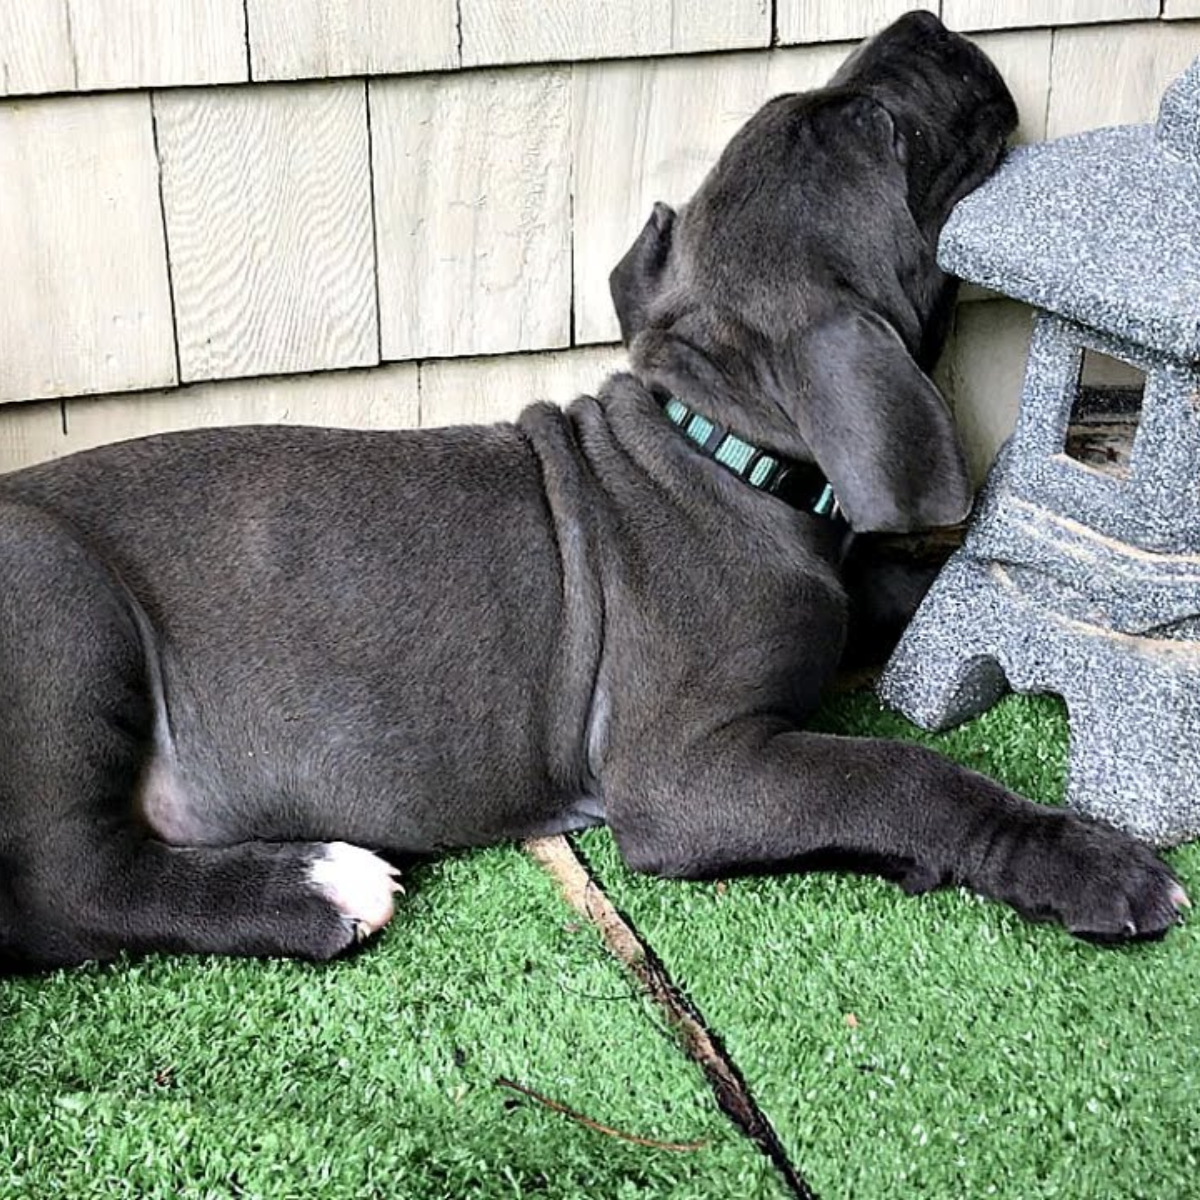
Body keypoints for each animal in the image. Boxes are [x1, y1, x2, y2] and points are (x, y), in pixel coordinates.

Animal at [0, 11, 1185, 974]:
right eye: (885, 132)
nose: (930, 22)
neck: (724, 452)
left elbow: (907, 595)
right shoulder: (686, 771)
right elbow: (902, 775)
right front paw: (1085, 859)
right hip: (66, 615)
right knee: (70, 895)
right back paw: (317, 887)